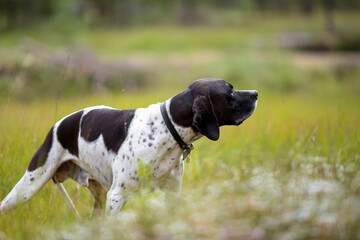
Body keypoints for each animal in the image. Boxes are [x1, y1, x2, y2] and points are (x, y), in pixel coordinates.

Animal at [0, 78, 258, 216]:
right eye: (230, 91)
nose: (256, 93)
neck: (167, 128)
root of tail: (56, 125)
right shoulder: (117, 197)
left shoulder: (171, 194)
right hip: (27, 187)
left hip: (98, 197)